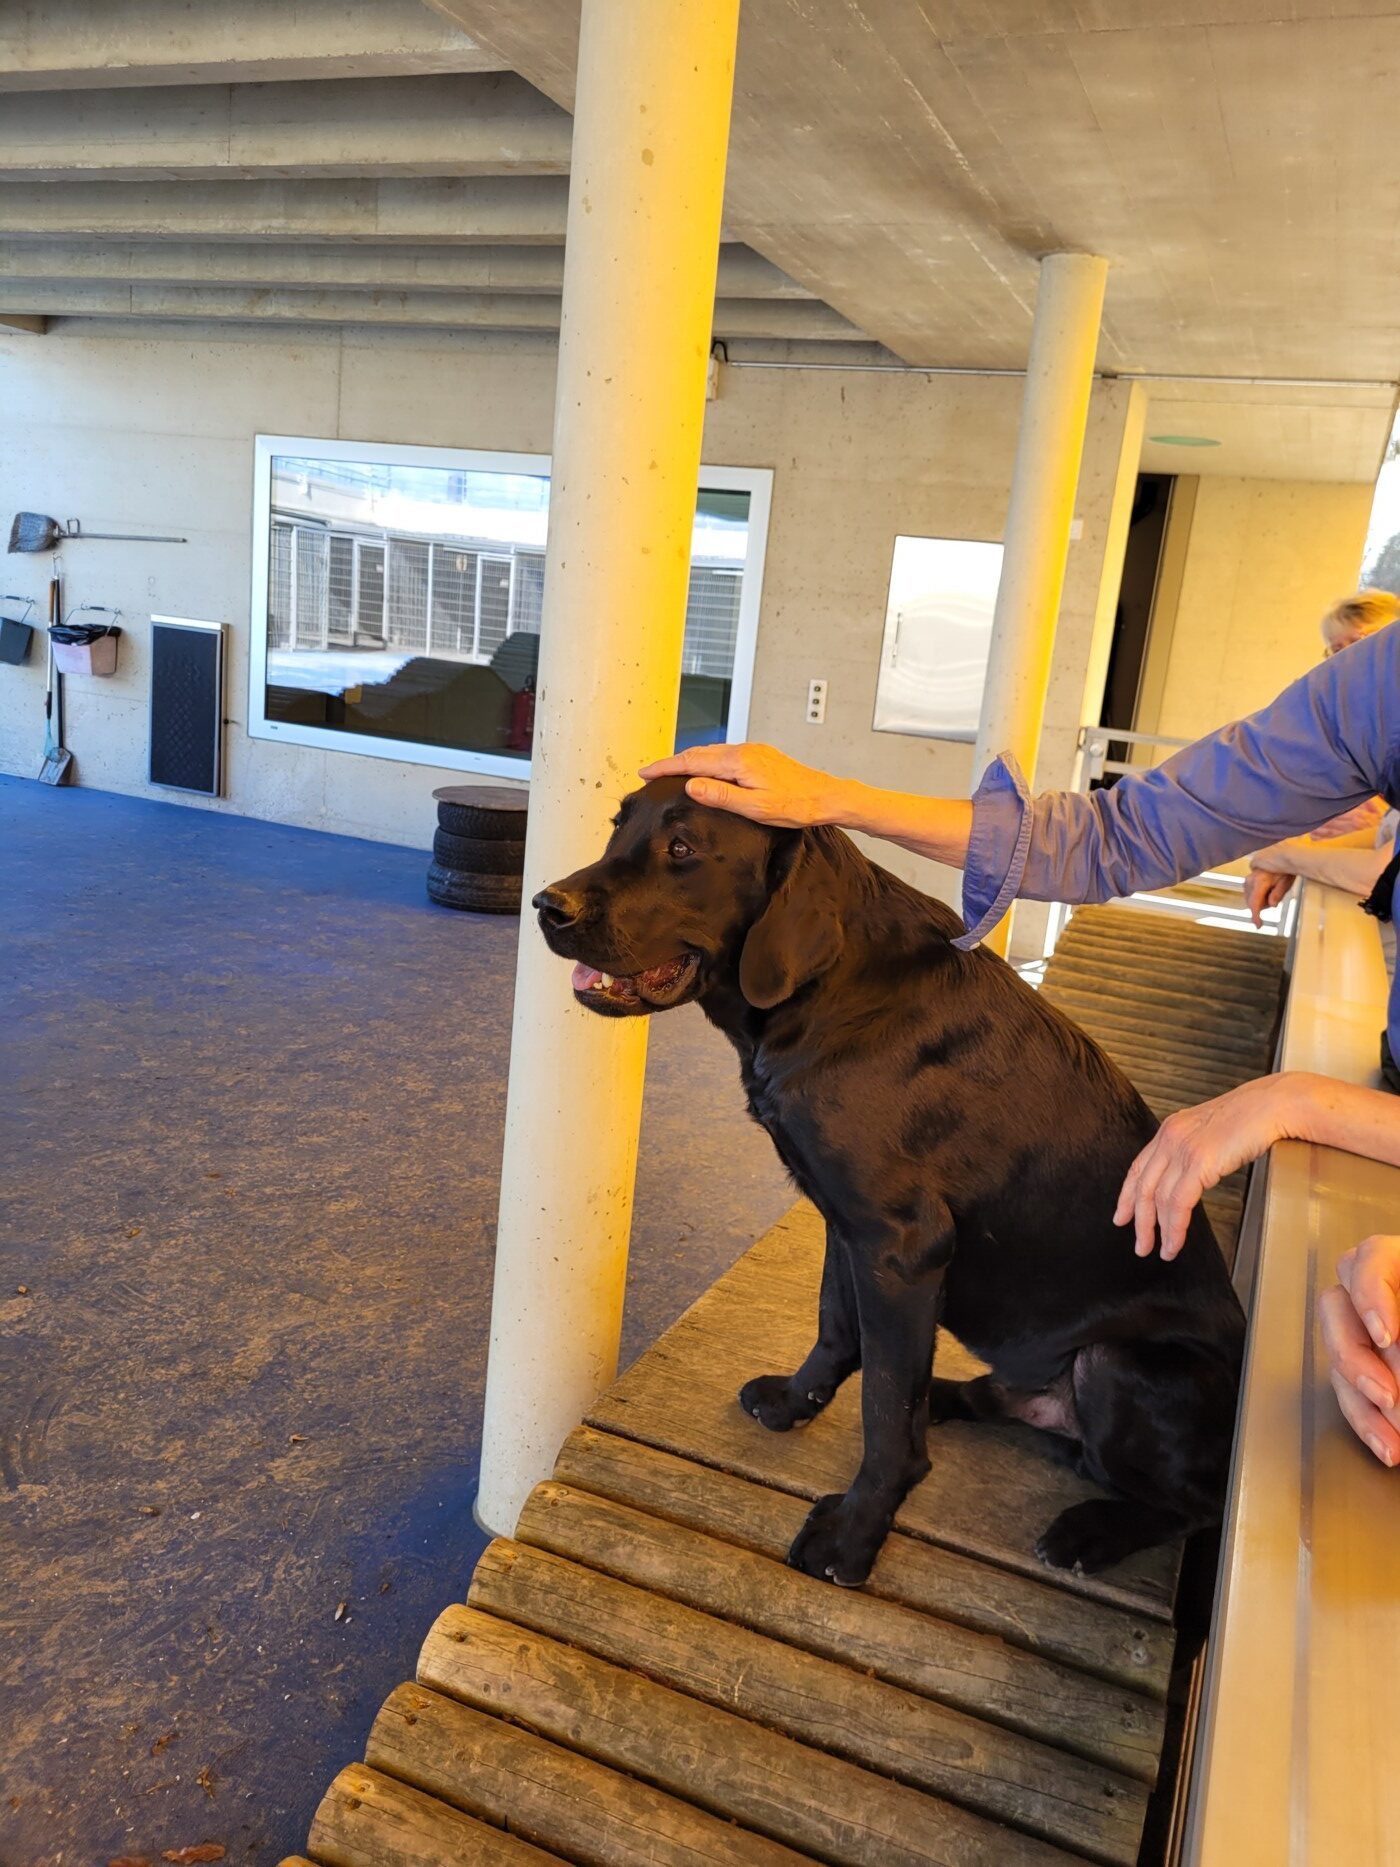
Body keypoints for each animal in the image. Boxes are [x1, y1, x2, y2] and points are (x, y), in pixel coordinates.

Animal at [536, 776, 1245, 1586]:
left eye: (682, 848)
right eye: (618, 826)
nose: (549, 906)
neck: (831, 989)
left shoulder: (903, 1245)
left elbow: (883, 1416)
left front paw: (852, 1536)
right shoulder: (848, 1225)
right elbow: (839, 1331)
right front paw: (795, 1402)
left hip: (1117, 1361)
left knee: (1197, 1504)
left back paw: (1091, 1531)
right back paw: (949, 1396)